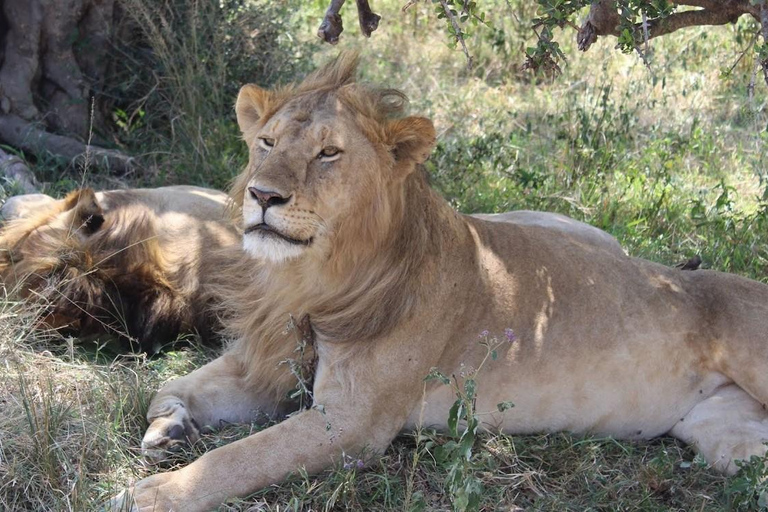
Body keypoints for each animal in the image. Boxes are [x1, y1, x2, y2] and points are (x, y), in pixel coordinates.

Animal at [114, 54, 768, 510]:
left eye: (329, 154)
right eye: (266, 142)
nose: (262, 195)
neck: (310, 281)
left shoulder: (352, 422)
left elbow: (239, 459)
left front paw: (147, 494)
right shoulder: (267, 363)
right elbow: (171, 385)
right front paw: (171, 426)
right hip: (729, 437)